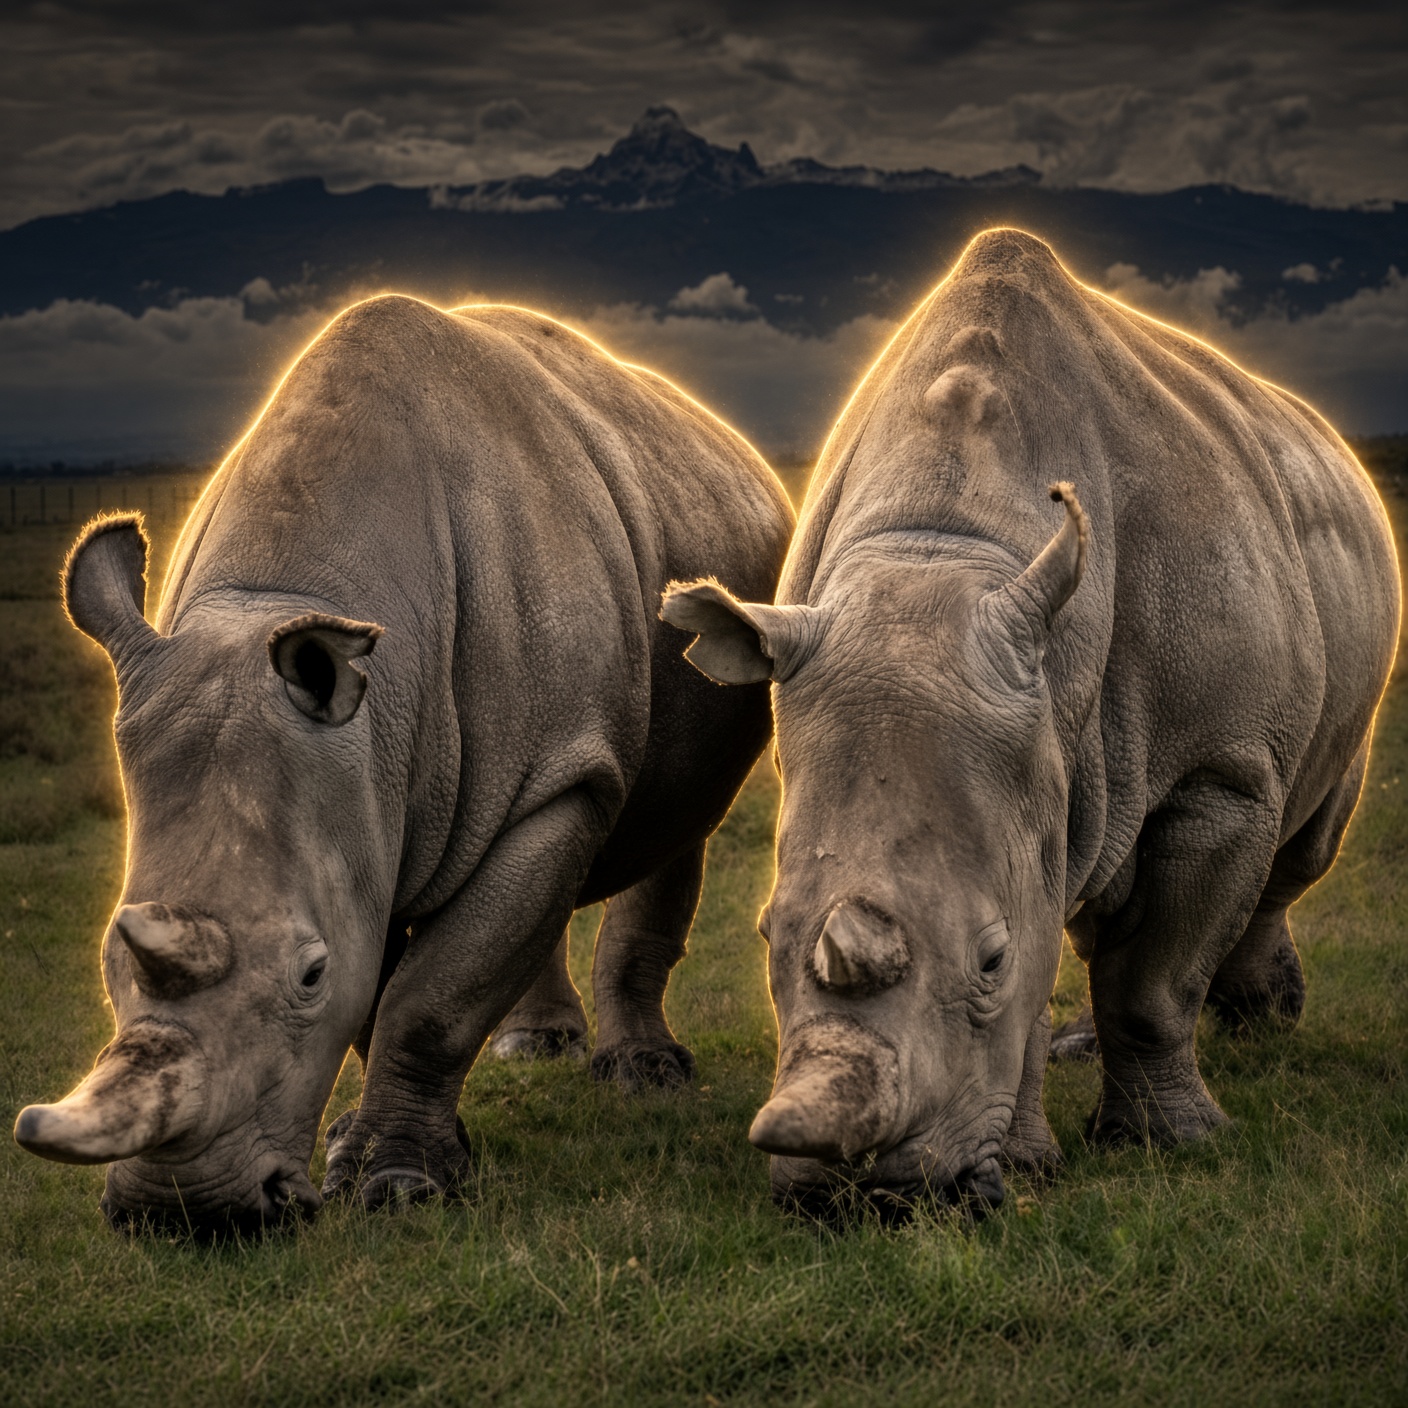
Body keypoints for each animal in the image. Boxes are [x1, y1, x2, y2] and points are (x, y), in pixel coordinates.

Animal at [13, 295, 793, 1232]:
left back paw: (643, 1078)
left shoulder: (553, 776)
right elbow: (388, 984)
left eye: (308, 974)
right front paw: (373, 1153)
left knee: (671, 826)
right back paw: (534, 1050)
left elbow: (428, 995)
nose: (184, 1212)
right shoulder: (359, 797)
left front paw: (399, 1186)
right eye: (108, 956)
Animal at [663, 229, 1399, 1213]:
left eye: (990, 960)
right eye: (765, 936)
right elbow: (1055, 929)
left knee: (1300, 846)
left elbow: (1153, 980)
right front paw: (1025, 1163)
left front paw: (1174, 1142)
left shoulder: (1221, 771)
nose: (861, 1197)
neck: (943, 546)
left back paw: (1259, 1024)